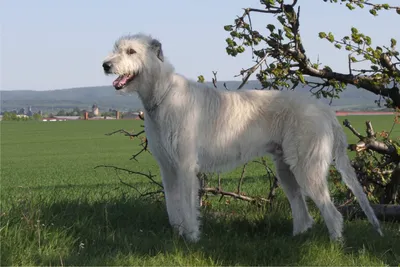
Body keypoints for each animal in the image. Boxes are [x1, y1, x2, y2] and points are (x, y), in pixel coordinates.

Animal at [101, 33, 382, 243]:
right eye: (116, 48)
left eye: (131, 51)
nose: (105, 65)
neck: (163, 93)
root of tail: (324, 110)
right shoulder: (167, 167)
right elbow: (173, 206)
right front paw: (177, 235)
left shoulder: (184, 165)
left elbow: (188, 207)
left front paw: (190, 240)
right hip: (286, 169)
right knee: (304, 213)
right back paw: (296, 237)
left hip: (308, 165)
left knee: (332, 213)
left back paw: (335, 245)